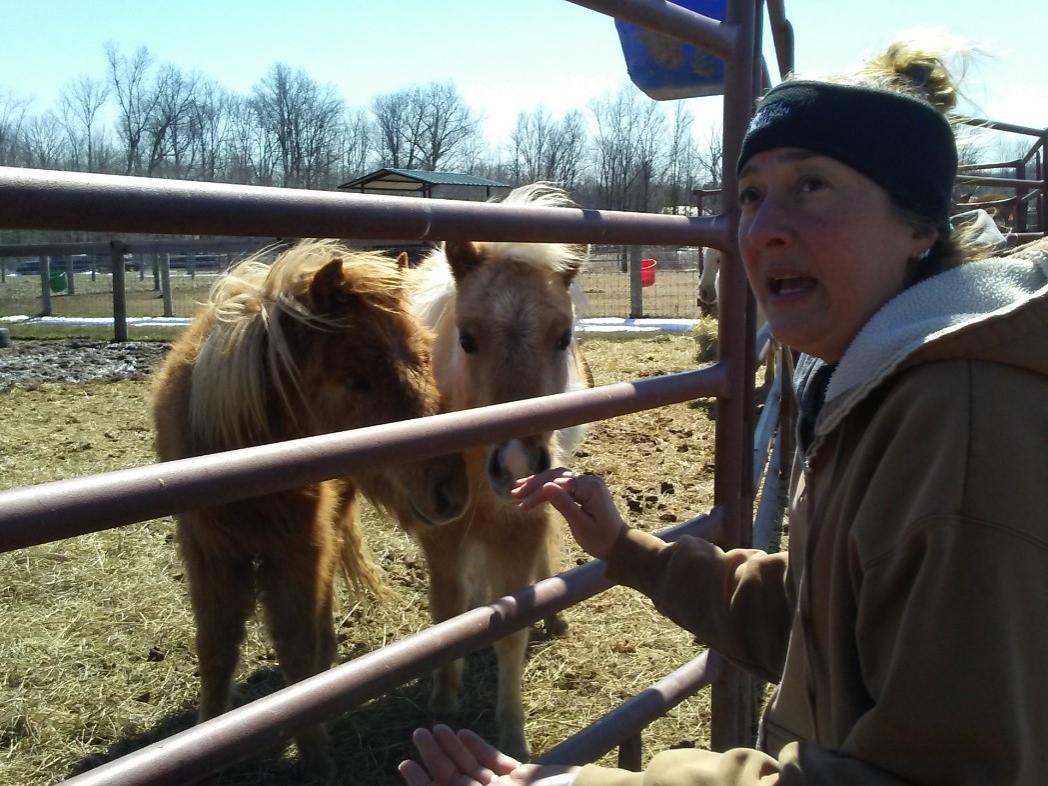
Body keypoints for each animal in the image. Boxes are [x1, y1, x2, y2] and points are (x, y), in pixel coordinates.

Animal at [151, 239, 470, 778]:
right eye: (355, 380)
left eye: (425, 358)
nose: (452, 490)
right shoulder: (208, 553)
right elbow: (216, 647)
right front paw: (207, 739)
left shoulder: (299, 548)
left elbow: (297, 654)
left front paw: (317, 758)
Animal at [401, 183, 592, 760]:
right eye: (467, 339)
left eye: (563, 336)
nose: (516, 465)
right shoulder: (441, 532)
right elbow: (446, 614)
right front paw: (445, 697)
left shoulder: (520, 524)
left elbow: (513, 628)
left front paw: (512, 735)